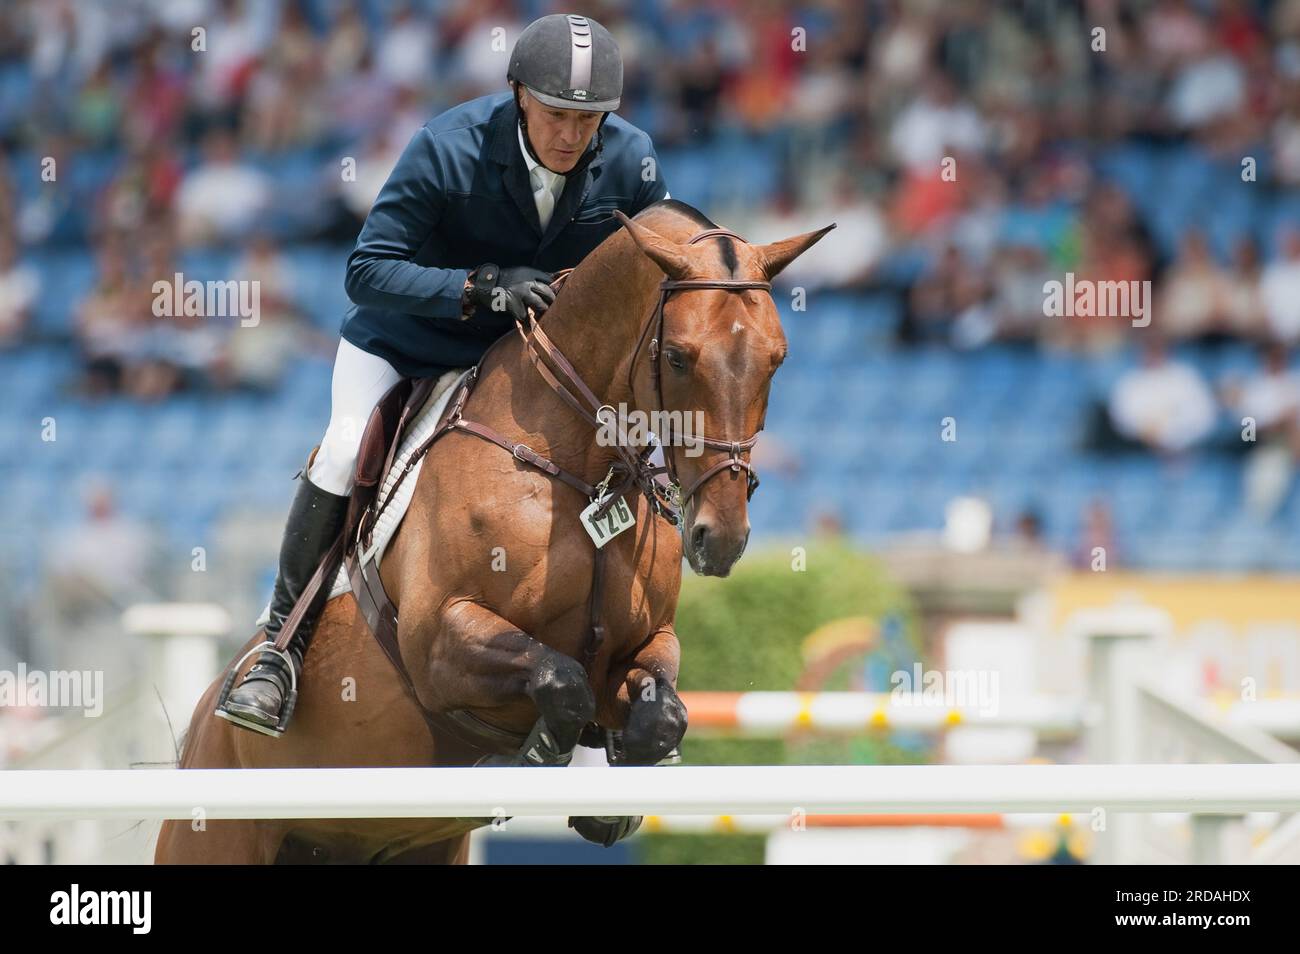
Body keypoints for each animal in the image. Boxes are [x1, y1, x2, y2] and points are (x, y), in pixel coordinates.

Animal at [154, 201, 832, 868]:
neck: (580, 470)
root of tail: (200, 726)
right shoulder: (438, 639)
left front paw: (616, 788)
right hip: (219, 834)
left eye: (777, 359)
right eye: (678, 358)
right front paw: (531, 760)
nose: (721, 538)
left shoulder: (648, 640)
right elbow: (563, 681)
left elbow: (661, 711)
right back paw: (264, 685)